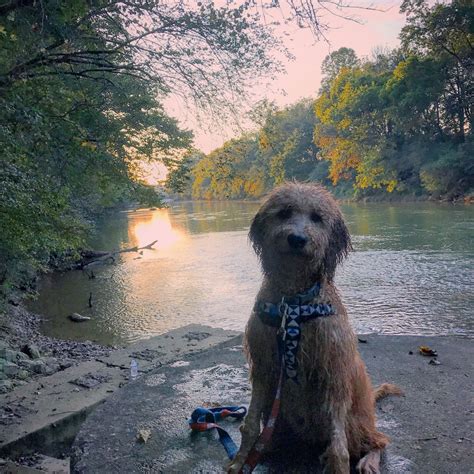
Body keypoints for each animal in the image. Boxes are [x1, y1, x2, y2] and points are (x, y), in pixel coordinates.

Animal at [230, 182, 400, 474]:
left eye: (317, 218)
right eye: (284, 212)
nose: (297, 239)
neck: (292, 303)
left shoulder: (334, 373)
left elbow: (339, 448)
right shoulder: (263, 366)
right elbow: (250, 425)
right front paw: (239, 462)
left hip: (355, 421)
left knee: (378, 440)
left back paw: (368, 459)